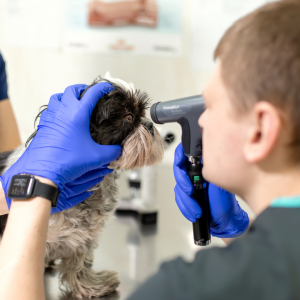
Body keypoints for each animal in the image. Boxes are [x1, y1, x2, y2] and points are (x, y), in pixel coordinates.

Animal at [0, 72, 164, 298]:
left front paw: (90, 285)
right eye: (128, 117)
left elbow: (80, 263)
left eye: (143, 113)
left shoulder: (83, 238)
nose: (149, 125)